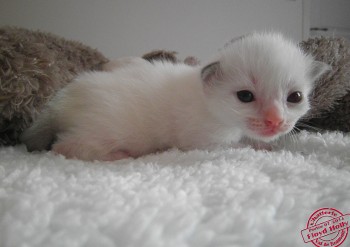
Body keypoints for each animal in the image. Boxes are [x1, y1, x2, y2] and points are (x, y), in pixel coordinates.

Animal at [21, 31, 328, 161]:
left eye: (294, 97)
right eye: (245, 96)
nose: (275, 121)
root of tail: (58, 102)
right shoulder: (205, 142)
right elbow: (240, 145)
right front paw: (265, 148)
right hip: (102, 132)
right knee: (63, 147)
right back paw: (120, 156)